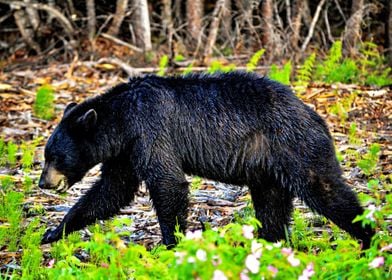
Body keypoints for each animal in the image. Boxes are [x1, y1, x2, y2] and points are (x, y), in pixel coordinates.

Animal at [39, 71, 374, 247]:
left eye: (56, 156)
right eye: (46, 155)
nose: (43, 183)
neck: (120, 120)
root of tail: (315, 115)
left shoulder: (149, 130)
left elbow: (168, 182)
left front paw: (171, 244)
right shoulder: (126, 150)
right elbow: (112, 190)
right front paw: (53, 232)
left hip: (296, 147)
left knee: (325, 188)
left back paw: (368, 237)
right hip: (267, 167)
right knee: (271, 206)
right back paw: (270, 243)